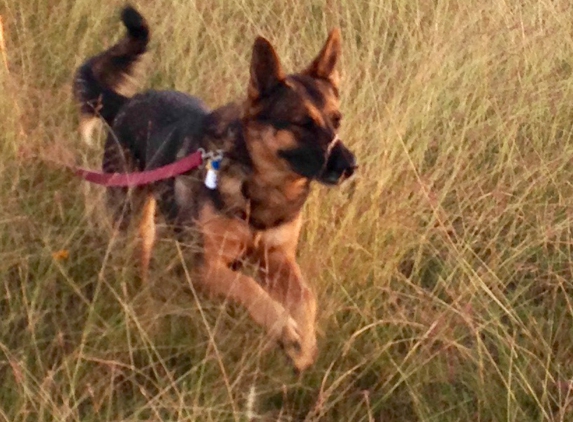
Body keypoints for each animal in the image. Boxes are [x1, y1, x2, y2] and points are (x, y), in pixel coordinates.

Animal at [73, 5, 356, 370]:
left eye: (337, 120)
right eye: (302, 124)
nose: (351, 166)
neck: (261, 189)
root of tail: (126, 103)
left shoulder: (277, 261)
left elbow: (306, 298)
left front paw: (304, 344)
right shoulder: (207, 267)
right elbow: (247, 287)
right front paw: (284, 328)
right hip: (132, 220)